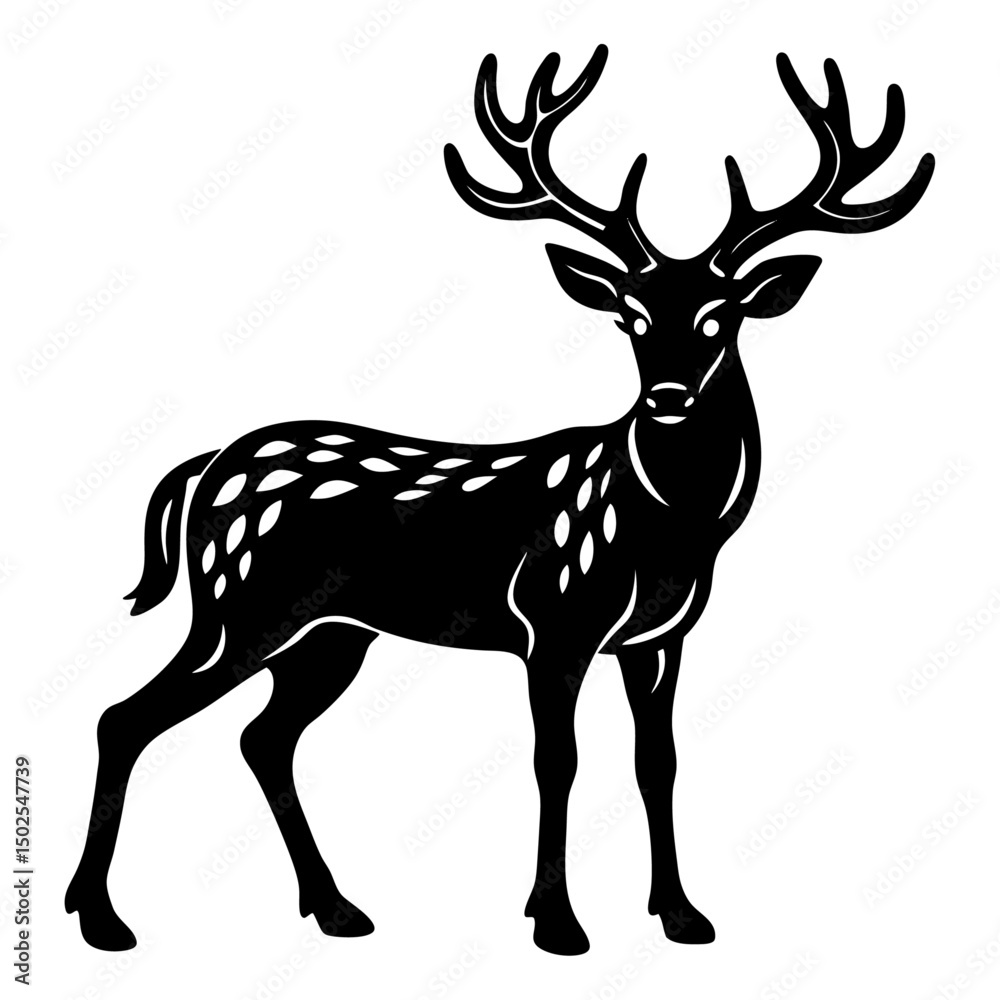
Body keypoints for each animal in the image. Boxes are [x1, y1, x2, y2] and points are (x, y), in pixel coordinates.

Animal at [66, 45, 933, 956]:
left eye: (719, 318)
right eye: (629, 317)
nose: (666, 396)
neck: (670, 529)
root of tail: (204, 468)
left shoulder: (660, 637)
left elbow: (656, 761)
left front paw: (681, 914)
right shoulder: (555, 620)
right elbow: (559, 761)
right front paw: (556, 920)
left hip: (330, 634)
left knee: (261, 739)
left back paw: (335, 908)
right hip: (240, 609)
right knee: (126, 717)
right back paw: (101, 916)